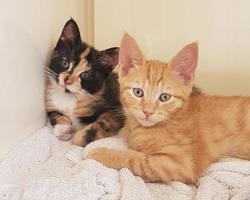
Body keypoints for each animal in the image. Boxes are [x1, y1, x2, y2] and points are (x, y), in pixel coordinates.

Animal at [87, 33, 250, 184]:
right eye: (138, 92)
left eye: (164, 97)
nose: (147, 111)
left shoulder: (181, 165)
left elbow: (138, 160)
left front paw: (104, 155)